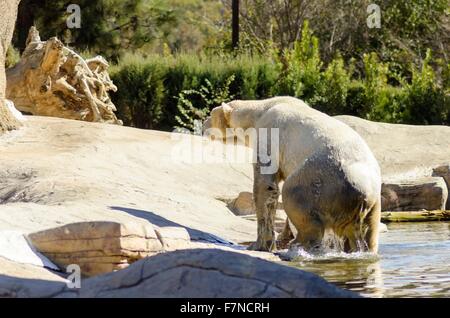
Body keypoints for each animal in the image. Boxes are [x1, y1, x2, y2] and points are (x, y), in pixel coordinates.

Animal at [206, 97, 382, 253]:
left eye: (210, 114)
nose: (203, 125)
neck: (260, 111)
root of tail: (363, 192)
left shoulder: (270, 133)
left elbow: (266, 185)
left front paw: (259, 245)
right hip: (373, 202)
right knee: (369, 232)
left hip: (324, 178)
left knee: (293, 194)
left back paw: (297, 244)